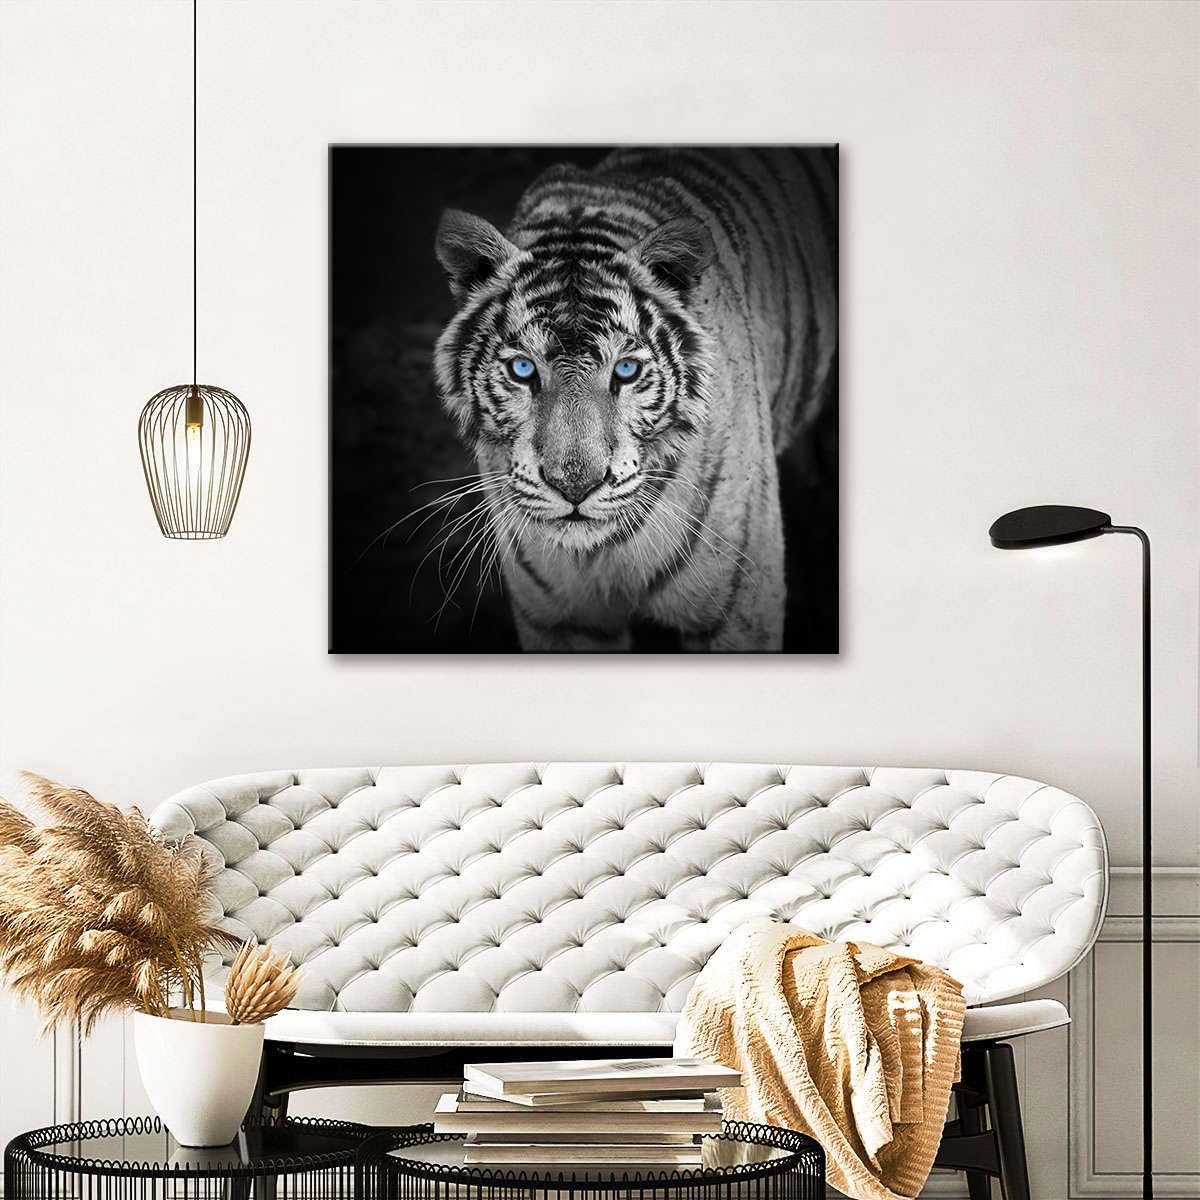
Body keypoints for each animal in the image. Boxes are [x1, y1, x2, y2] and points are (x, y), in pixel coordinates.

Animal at [432, 147, 837, 652]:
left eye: (625, 370)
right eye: (523, 369)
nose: (575, 487)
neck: (599, 554)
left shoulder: (738, 611)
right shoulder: (560, 621)